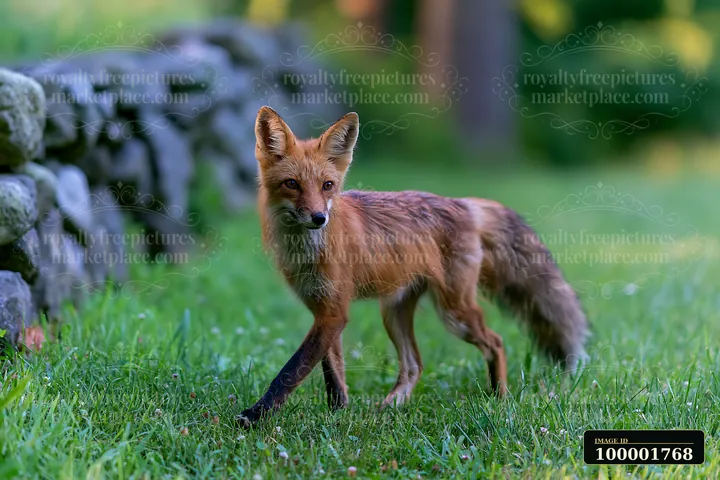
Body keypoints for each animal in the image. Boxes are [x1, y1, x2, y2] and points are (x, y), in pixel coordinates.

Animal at [237, 106, 589, 427]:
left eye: (327, 185)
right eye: (292, 184)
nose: (319, 218)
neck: (306, 251)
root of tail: (464, 204)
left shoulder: (334, 312)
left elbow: (291, 371)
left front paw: (254, 416)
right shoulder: (323, 311)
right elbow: (332, 374)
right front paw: (339, 414)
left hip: (454, 312)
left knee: (496, 342)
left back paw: (499, 399)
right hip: (394, 312)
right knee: (414, 365)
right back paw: (388, 409)